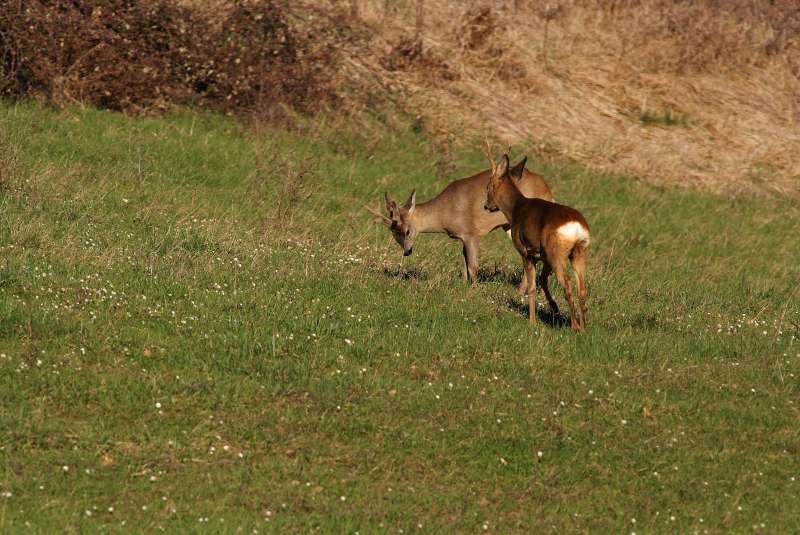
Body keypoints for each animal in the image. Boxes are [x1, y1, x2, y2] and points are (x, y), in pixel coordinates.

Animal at [368, 157, 552, 286]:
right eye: (394, 234)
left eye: (407, 230)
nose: (407, 251)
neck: (444, 213)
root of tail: (547, 189)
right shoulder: (463, 238)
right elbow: (464, 265)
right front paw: (464, 285)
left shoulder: (472, 234)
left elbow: (473, 266)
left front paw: (475, 290)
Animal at [484, 147, 592, 330]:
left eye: (488, 186)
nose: (486, 205)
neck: (516, 209)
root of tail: (576, 227)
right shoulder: (543, 257)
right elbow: (542, 280)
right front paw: (554, 308)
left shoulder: (526, 253)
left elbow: (532, 287)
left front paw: (532, 321)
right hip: (577, 253)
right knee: (581, 288)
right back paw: (583, 327)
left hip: (557, 254)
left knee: (568, 284)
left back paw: (575, 326)